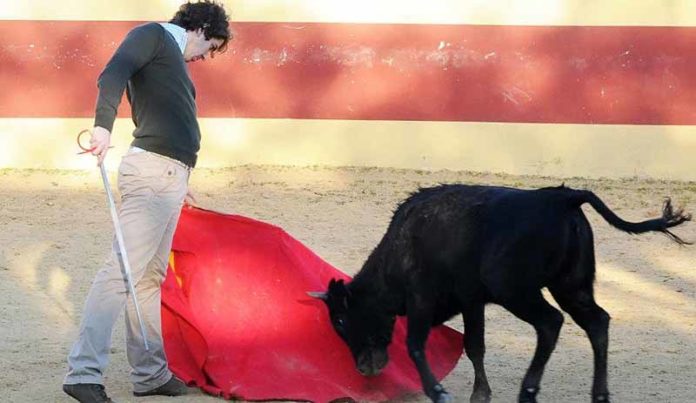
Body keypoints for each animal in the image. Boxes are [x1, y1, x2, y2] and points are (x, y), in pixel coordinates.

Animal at [312, 185, 692, 402]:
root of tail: (562, 197)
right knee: (598, 322)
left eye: (341, 320)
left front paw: (439, 392)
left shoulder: (422, 298)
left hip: (515, 290)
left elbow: (416, 345)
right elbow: (474, 346)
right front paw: (481, 394)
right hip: (571, 285)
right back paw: (599, 394)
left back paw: (529, 390)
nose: (364, 369)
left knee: (551, 322)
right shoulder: (472, 300)